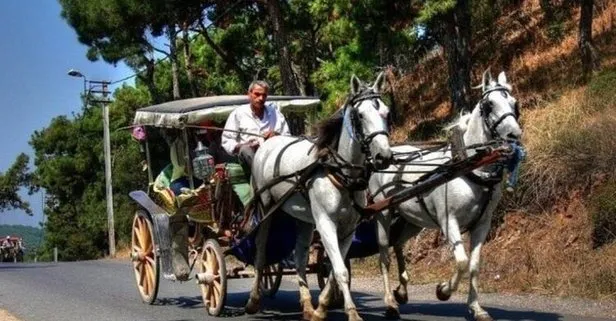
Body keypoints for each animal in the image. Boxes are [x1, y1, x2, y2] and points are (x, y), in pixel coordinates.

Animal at [248, 72, 392, 320]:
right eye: (360, 115)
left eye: (385, 112)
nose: (384, 156)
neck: (340, 173)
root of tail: (267, 142)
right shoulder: (325, 223)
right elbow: (341, 271)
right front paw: (352, 313)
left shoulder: (348, 229)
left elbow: (335, 269)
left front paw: (321, 308)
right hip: (266, 209)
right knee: (260, 251)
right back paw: (253, 300)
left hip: (303, 219)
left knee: (299, 258)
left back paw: (306, 305)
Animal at [368, 70, 524, 320]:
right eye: (489, 104)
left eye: (514, 103)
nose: (513, 135)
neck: (470, 167)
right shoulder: (448, 221)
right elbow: (461, 261)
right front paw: (443, 290)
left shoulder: (483, 224)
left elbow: (474, 265)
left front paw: (476, 308)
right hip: (383, 214)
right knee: (384, 256)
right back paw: (390, 303)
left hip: (413, 220)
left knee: (399, 244)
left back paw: (402, 290)